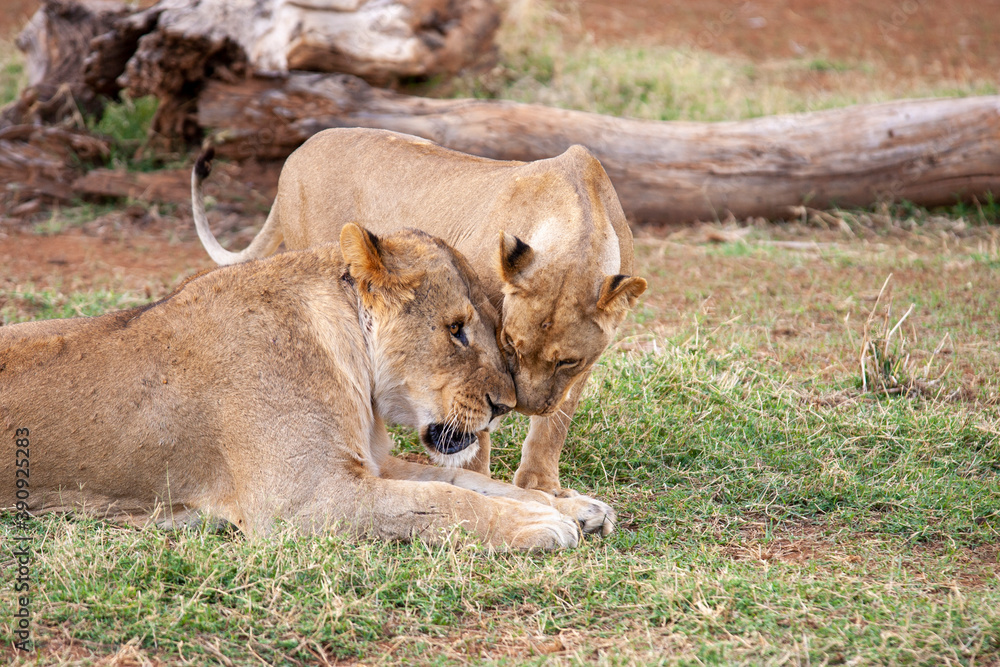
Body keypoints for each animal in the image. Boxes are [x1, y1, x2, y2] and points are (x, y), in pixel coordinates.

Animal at [0, 224, 615, 548]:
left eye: (499, 328)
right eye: (457, 330)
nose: (505, 406)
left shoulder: (368, 463)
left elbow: (471, 483)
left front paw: (571, 505)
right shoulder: (303, 502)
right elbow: (438, 501)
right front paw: (539, 523)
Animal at [192, 128, 647, 495]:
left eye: (568, 361)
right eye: (510, 344)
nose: (524, 407)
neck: (579, 231)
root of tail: (302, 147)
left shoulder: (581, 368)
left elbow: (554, 425)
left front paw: (541, 485)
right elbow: (473, 421)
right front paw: (482, 476)